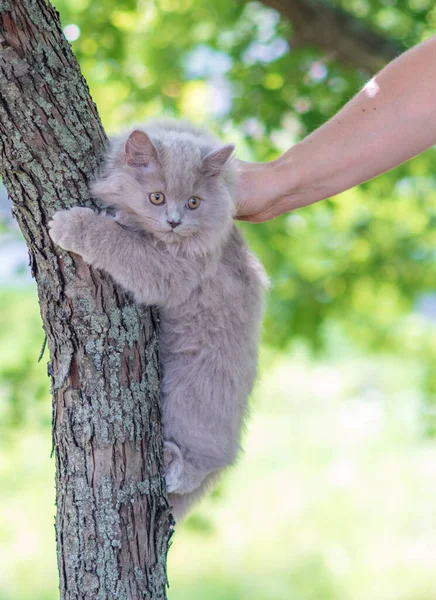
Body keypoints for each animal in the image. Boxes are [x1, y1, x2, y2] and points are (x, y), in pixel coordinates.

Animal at [47, 118, 266, 520]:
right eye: (157, 198)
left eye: (194, 202)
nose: (175, 221)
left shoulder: (171, 271)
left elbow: (121, 243)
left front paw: (74, 225)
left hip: (192, 393)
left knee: (203, 459)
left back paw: (174, 464)